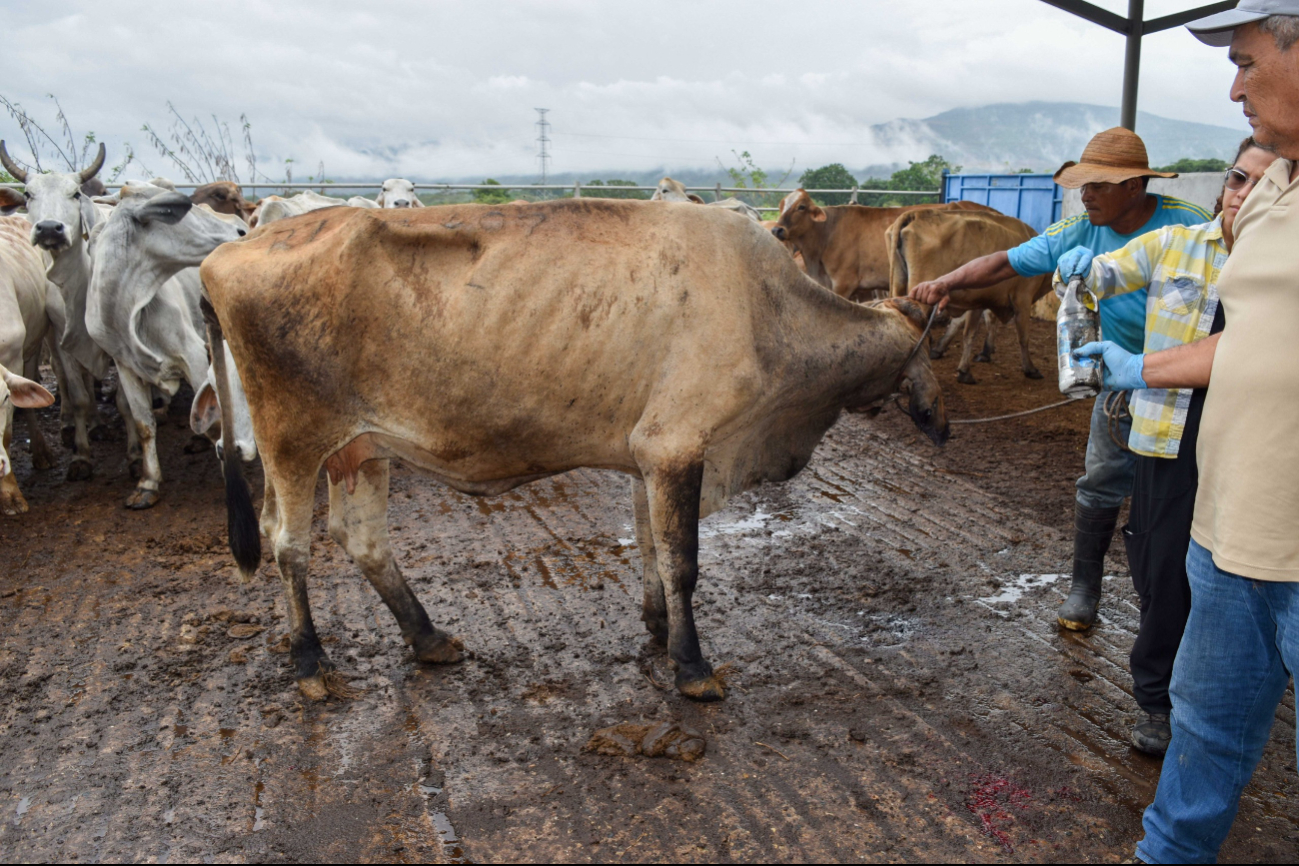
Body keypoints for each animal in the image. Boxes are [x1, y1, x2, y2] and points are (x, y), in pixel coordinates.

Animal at [90, 185, 246, 503]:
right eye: (185, 210)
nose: (241, 230)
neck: (129, 309)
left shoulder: (193, 356)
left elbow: (216, 424)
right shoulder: (125, 366)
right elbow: (143, 424)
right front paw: (148, 483)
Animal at [202, 201, 950, 706]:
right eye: (926, 354)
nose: (941, 422)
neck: (771, 311)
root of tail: (227, 253)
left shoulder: (647, 454)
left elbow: (649, 544)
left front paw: (656, 627)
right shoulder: (677, 443)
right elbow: (683, 563)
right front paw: (693, 667)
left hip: (361, 449)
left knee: (361, 540)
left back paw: (428, 638)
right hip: (293, 439)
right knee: (288, 544)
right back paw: (309, 663)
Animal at [888, 207, 1049, 384]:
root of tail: (917, 213)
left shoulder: (980, 300)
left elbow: (966, 325)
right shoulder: (1022, 298)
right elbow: (1021, 336)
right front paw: (1030, 368)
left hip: (899, 286)